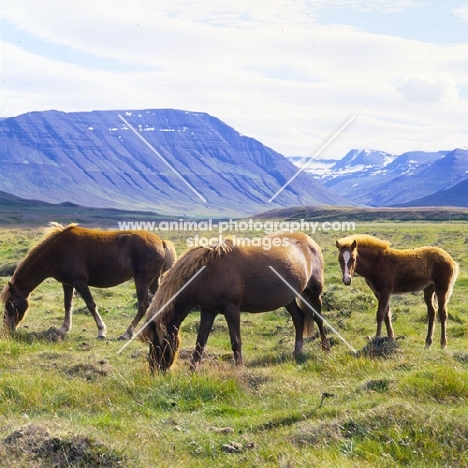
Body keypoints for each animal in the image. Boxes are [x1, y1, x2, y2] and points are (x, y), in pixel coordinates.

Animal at [0, 223, 176, 340]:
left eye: (10, 304)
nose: (7, 329)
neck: (57, 252)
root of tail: (161, 242)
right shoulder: (67, 283)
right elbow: (67, 304)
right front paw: (64, 328)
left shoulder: (80, 283)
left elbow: (91, 305)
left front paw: (101, 331)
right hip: (153, 282)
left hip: (142, 281)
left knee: (143, 306)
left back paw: (127, 333)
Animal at [141, 231, 328, 372]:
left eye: (157, 342)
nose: (154, 370)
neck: (205, 271)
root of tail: (309, 241)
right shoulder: (208, 310)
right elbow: (201, 341)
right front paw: (193, 369)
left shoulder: (232, 310)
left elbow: (235, 341)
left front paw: (238, 367)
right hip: (288, 299)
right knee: (299, 318)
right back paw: (297, 352)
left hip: (314, 292)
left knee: (318, 319)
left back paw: (326, 348)